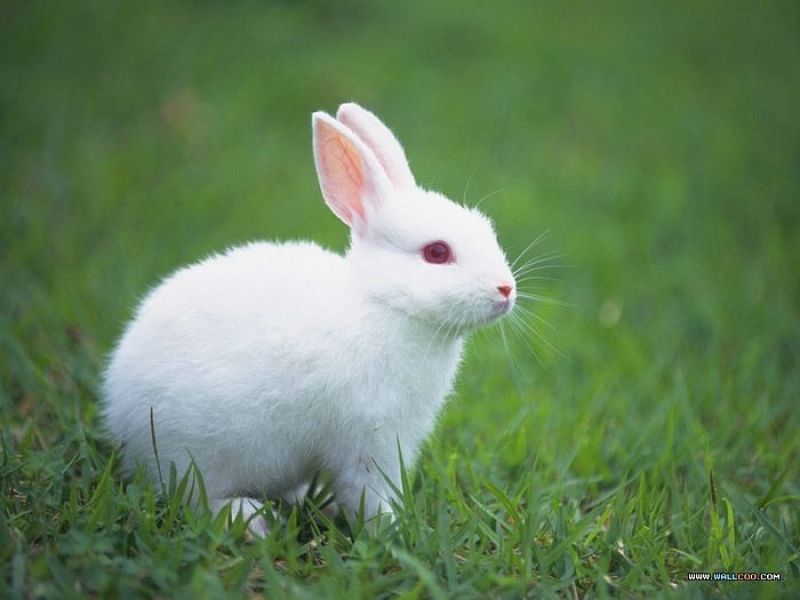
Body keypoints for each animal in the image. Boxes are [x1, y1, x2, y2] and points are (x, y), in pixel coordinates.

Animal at [102, 103, 517, 535]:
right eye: (437, 252)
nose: (506, 289)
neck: (385, 304)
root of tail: (118, 410)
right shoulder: (369, 443)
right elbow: (370, 494)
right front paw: (393, 530)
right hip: (196, 454)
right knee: (195, 498)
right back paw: (251, 520)